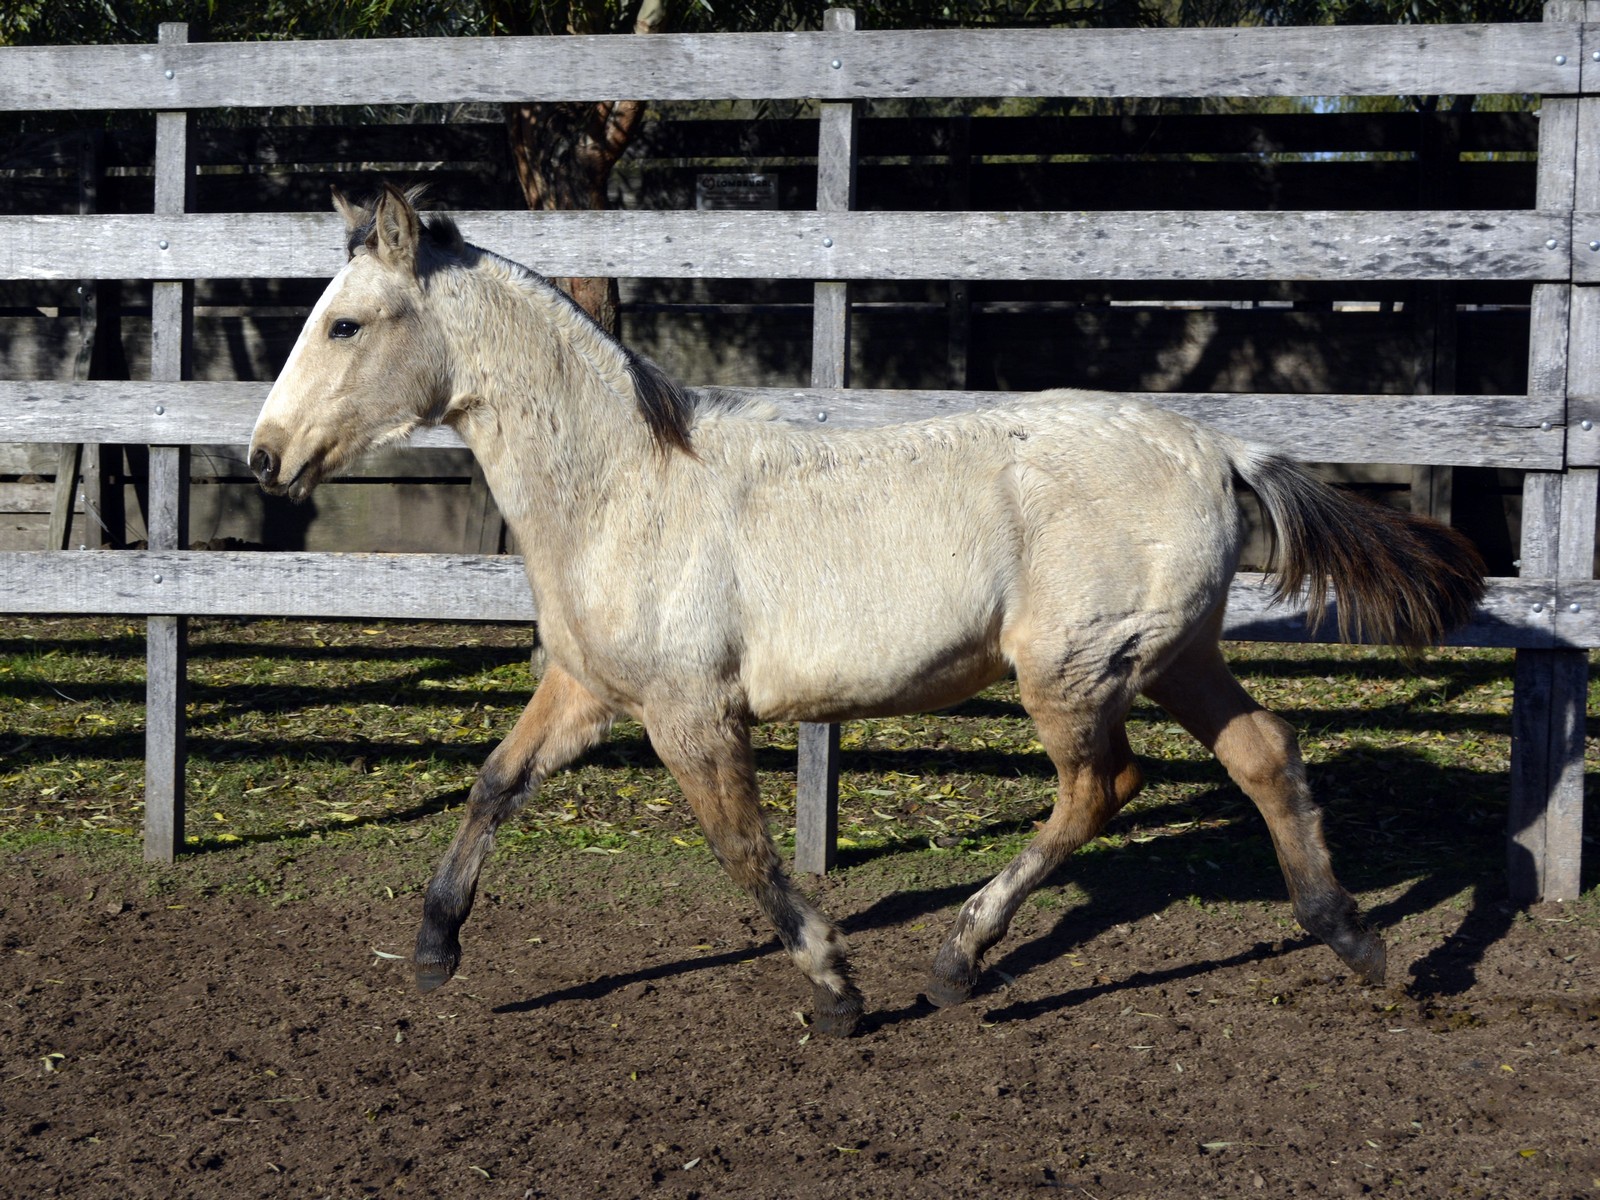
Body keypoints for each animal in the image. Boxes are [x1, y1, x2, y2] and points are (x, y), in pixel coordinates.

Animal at [249, 185, 1484, 1036]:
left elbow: (744, 852)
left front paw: (837, 992)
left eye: (346, 325)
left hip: (1073, 670)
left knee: (1101, 789)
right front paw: (433, 950)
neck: (626, 490)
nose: (265, 457)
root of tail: (1218, 447)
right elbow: (494, 785)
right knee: (1266, 752)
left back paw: (957, 962)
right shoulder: (588, 690)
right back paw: (1356, 940)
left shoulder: (693, 715)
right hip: (1176, 655)